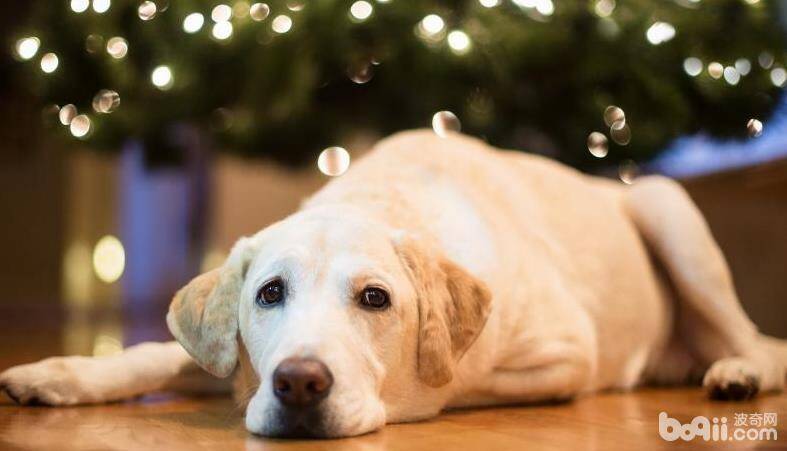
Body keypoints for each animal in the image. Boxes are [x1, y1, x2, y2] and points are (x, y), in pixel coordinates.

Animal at [2, 130, 786, 438]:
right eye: (268, 293)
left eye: (375, 299)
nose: (298, 383)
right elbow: (155, 355)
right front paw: (58, 374)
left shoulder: (565, 353)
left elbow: (450, 381)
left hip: (668, 208)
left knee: (758, 343)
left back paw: (737, 370)